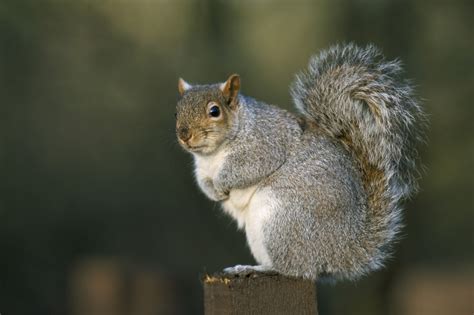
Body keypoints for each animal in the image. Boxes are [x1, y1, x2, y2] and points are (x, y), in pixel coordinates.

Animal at [174, 42, 426, 282]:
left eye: (214, 111)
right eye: (177, 111)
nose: (184, 134)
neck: (212, 155)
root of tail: (341, 250)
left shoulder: (264, 146)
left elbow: (245, 169)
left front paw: (222, 184)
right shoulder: (202, 168)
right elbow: (203, 182)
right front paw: (214, 191)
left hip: (282, 220)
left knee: (294, 269)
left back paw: (253, 268)